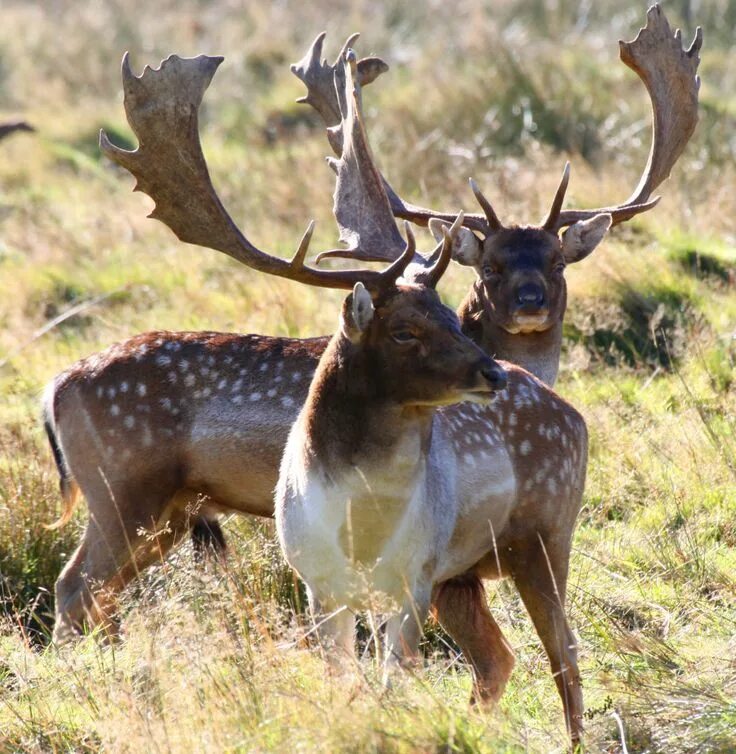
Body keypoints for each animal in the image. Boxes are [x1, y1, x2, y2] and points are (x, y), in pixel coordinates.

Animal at [44, 7, 700, 740]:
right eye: (491, 266)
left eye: (557, 262)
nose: (527, 308)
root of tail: (55, 387)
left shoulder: (430, 576)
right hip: (124, 491)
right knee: (76, 588)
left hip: (171, 512)